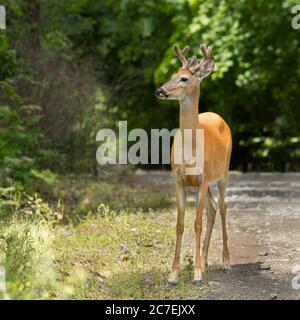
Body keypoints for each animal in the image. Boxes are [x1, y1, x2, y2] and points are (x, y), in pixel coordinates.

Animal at [156, 43, 231, 284]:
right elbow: (180, 225)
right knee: (213, 208)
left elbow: (196, 223)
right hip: (205, 182)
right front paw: (173, 274)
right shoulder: (180, 180)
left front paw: (196, 274)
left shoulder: (203, 178)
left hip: (223, 173)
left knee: (223, 208)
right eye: (171, 75)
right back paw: (206, 261)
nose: (160, 90)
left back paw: (225, 262)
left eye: (184, 79)